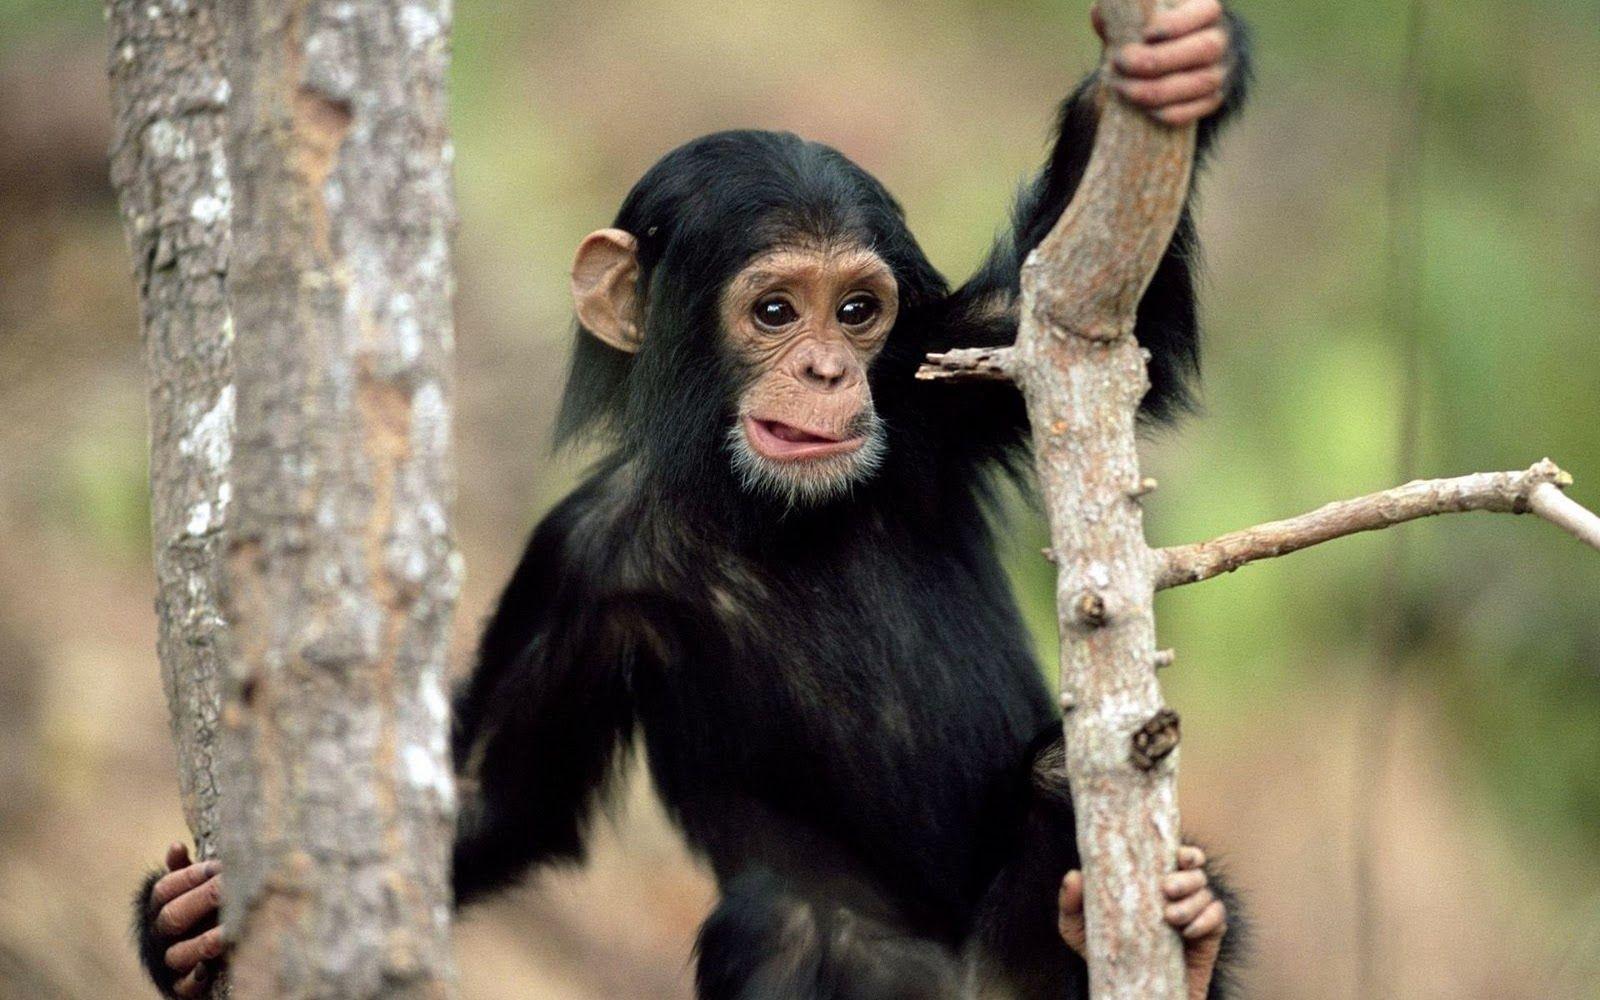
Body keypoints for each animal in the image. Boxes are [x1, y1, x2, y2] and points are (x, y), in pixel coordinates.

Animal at [136, 3, 1250, 996]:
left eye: (858, 310)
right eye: (775, 310)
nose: (826, 371)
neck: (761, 509)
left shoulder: (940, 378)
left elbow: (1094, 314)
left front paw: (1182, 63)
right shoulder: (578, 561)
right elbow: (493, 799)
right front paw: (181, 927)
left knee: (1059, 776)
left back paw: (1177, 937)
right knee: (777, 920)